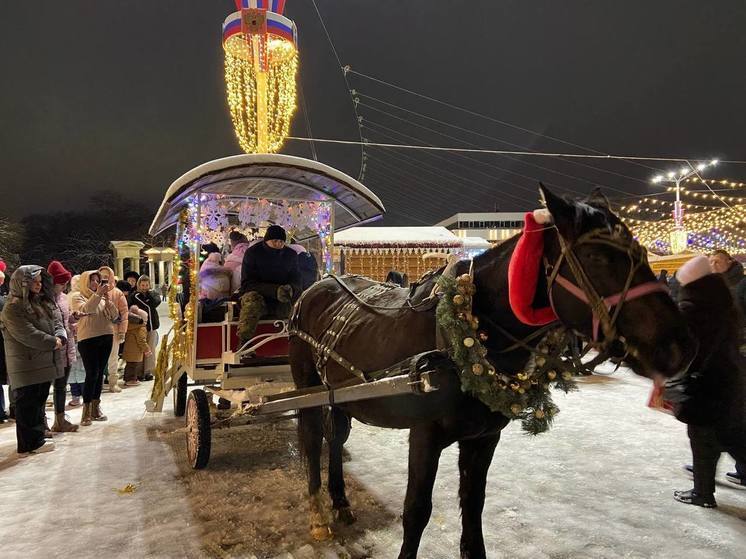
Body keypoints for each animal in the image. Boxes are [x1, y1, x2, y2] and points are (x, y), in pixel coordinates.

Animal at [288, 186, 696, 556]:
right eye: (597, 257)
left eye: (641, 253)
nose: (680, 346)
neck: (469, 330)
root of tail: (317, 286)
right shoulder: (425, 435)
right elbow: (416, 511)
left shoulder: (484, 437)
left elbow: (473, 506)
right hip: (307, 384)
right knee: (312, 437)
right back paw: (318, 515)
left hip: (339, 394)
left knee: (336, 437)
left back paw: (340, 501)